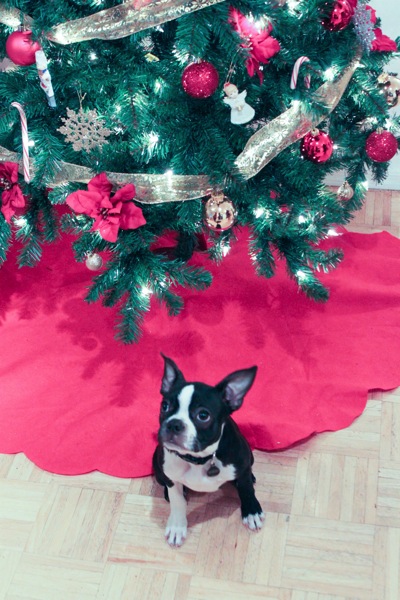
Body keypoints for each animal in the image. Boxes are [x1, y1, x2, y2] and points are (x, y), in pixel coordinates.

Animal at [152, 354, 264, 548]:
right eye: (164, 406)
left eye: (203, 415)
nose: (174, 424)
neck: (199, 459)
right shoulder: (170, 475)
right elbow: (177, 501)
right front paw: (177, 526)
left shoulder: (242, 465)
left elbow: (246, 488)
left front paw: (251, 511)